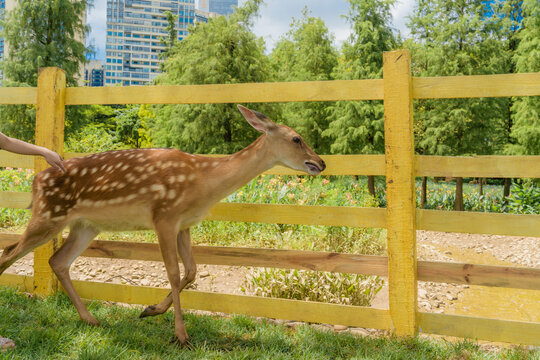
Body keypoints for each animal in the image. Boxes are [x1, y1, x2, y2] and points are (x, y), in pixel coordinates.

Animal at [0, 105, 324, 348]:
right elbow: (173, 272)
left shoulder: (185, 224)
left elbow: (192, 271)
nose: (320, 163)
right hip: (48, 216)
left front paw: (150, 311)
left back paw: (90, 318)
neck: (203, 182)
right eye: (296, 138)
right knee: (9, 253)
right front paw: (181, 335)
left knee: (57, 260)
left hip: (85, 225)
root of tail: (35, 181)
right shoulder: (164, 216)